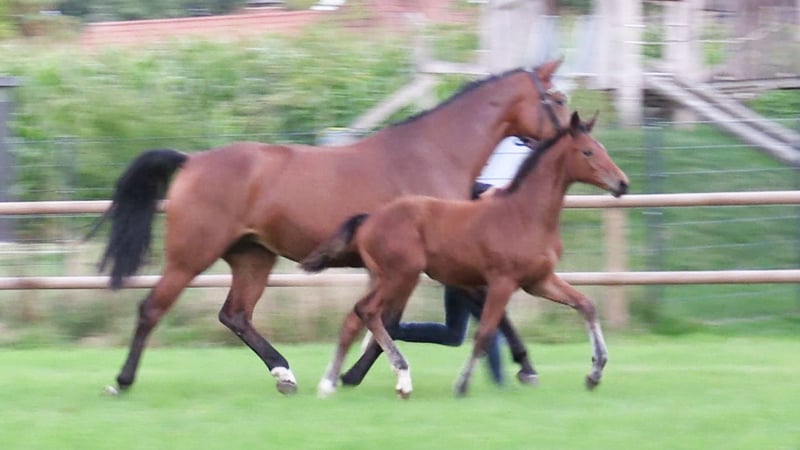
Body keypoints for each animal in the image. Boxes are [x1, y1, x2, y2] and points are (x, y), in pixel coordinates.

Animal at [97, 59, 571, 395]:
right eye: (559, 98)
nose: (574, 140)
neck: (433, 154)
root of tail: (191, 161)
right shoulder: (429, 265)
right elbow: (405, 319)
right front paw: (527, 367)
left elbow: (389, 320)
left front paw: (350, 374)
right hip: (191, 256)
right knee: (152, 309)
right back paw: (121, 381)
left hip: (253, 257)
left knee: (236, 315)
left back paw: (285, 374)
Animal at [302, 111, 629, 398]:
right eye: (587, 152)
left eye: (601, 148)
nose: (622, 183)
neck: (525, 215)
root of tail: (369, 219)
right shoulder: (502, 282)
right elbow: (484, 333)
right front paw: (462, 385)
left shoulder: (539, 280)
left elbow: (586, 305)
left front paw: (595, 373)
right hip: (401, 276)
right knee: (367, 311)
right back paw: (398, 377)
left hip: (386, 277)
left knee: (354, 319)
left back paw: (330, 382)